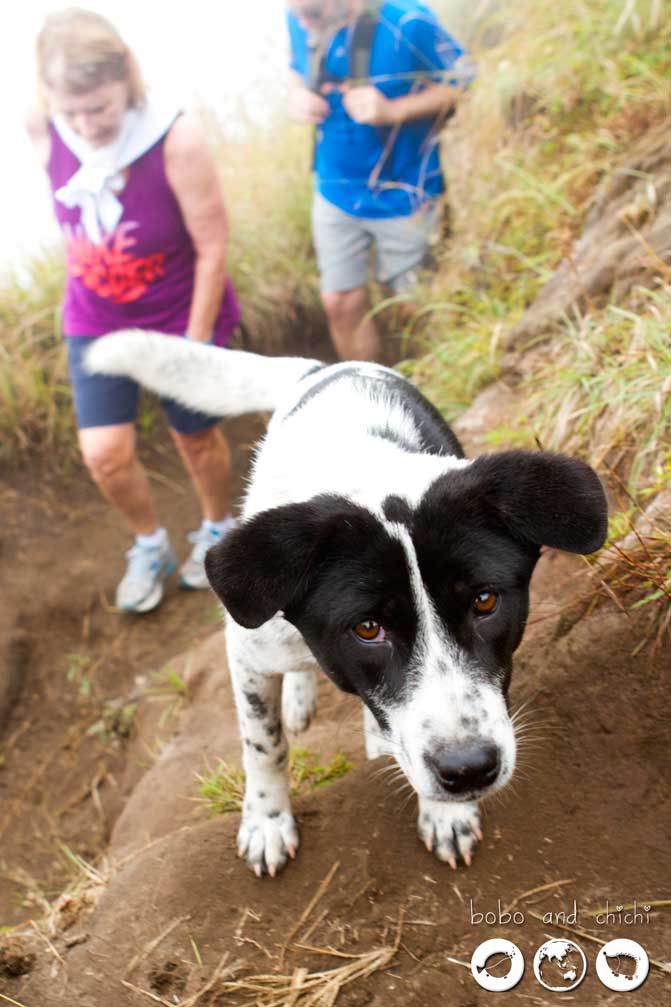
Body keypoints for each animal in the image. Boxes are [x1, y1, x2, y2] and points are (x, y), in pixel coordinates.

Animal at [85, 334, 604, 878]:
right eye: (368, 628)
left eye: (485, 601)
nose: (467, 771)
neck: (363, 465)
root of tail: (324, 366)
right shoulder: (247, 651)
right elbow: (263, 744)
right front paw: (267, 820)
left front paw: (445, 811)